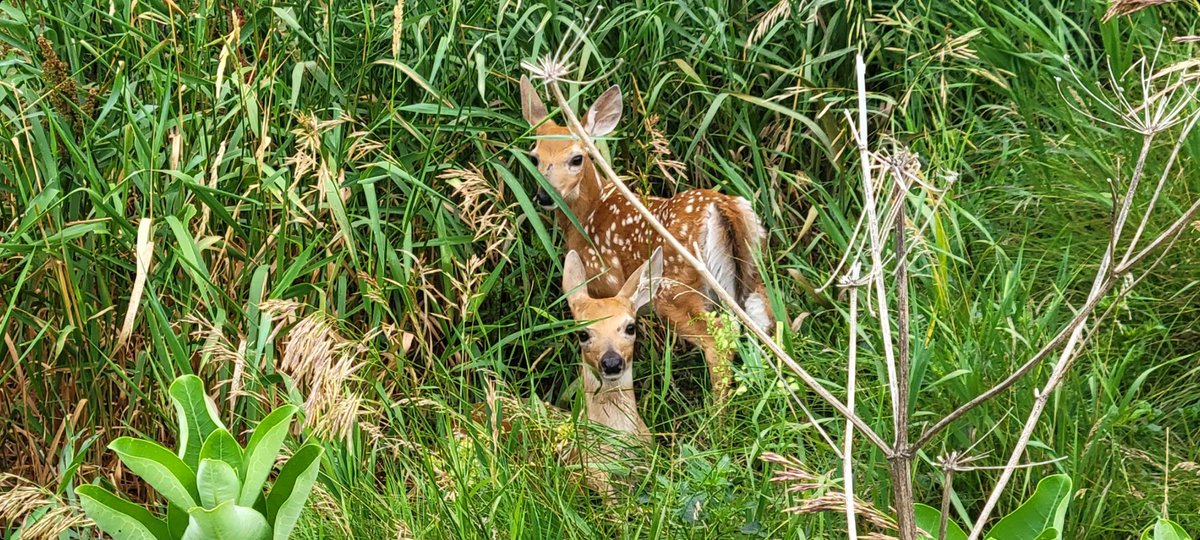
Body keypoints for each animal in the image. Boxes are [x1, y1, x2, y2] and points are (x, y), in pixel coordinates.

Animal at [519, 75, 775, 400]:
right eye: (534, 158)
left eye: (577, 158)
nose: (543, 196)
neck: (588, 214)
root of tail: (722, 209)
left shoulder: (604, 282)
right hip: (752, 271)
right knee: (766, 322)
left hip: (674, 289)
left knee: (719, 338)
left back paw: (716, 410)